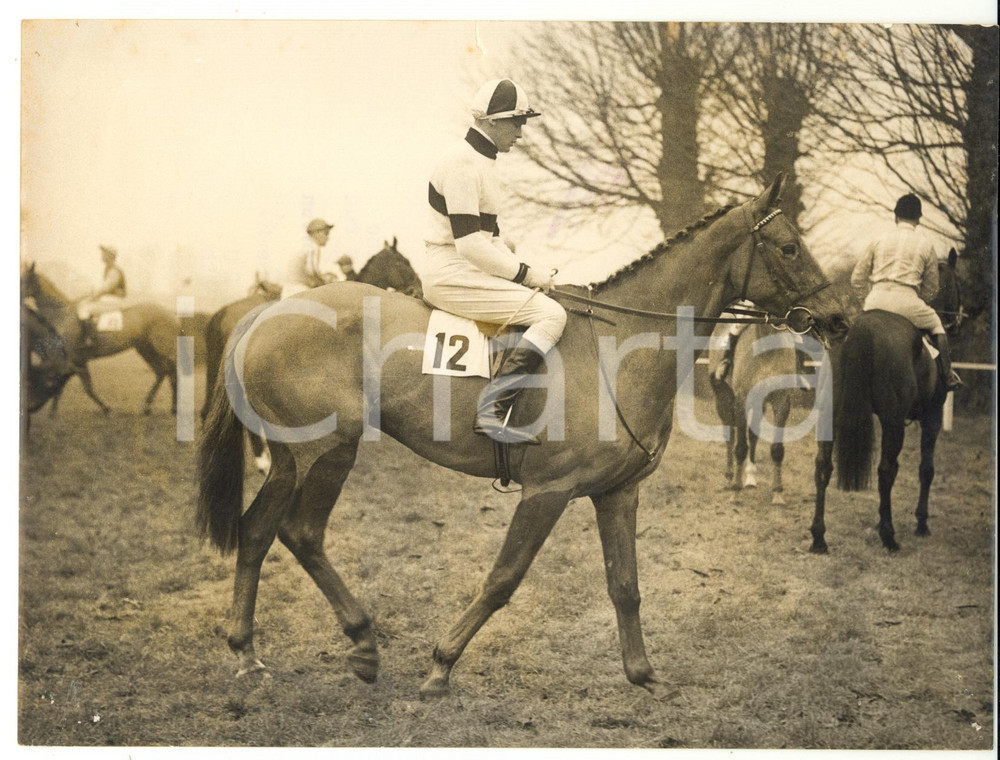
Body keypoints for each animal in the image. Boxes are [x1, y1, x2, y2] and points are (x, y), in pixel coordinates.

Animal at [20, 263, 180, 416]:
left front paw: (105, 409)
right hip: (145, 348)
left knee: (170, 370)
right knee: (162, 371)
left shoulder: (72, 359)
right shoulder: (77, 360)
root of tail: (169, 312)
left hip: (161, 347)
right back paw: (153, 407)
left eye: (24, 280)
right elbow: (80, 385)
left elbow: (79, 386)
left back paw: (169, 407)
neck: (62, 314)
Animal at [709, 321, 809, 505]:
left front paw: (777, 493)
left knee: (753, 435)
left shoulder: (781, 400)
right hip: (723, 398)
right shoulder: (741, 401)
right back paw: (730, 478)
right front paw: (735, 492)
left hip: (758, 404)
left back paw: (750, 479)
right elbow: (740, 447)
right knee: (729, 435)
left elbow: (777, 449)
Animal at [809, 253, 963, 553]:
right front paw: (921, 523)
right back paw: (889, 536)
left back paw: (819, 537)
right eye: (957, 284)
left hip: (829, 415)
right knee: (885, 471)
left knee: (823, 466)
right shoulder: (932, 416)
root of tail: (860, 328)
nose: (959, 319)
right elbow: (926, 469)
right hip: (894, 423)